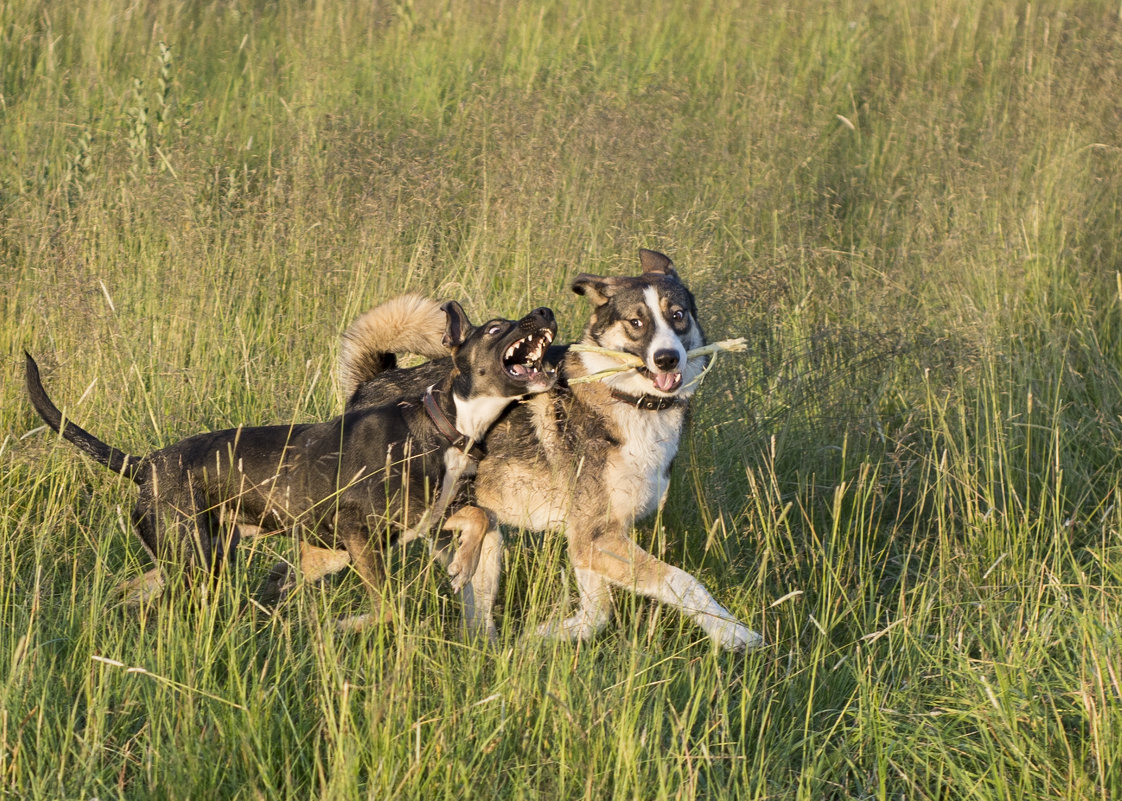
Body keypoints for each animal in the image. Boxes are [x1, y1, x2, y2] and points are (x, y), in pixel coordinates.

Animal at [29, 300, 561, 623]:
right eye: (495, 328)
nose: (544, 310)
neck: (444, 424)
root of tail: (145, 464)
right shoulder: (358, 537)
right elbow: (387, 606)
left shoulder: (422, 520)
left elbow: (476, 516)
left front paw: (463, 565)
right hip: (194, 561)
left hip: (205, 552)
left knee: (136, 587)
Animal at [320, 249, 767, 650]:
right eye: (636, 322)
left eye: (678, 316)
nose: (668, 358)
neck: (624, 397)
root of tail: (369, 385)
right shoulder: (595, 538)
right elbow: (682, 581)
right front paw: (735, 634)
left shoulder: (589, 540)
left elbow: (597, 613)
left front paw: (540, 638)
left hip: (483, 544)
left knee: (476, 627)